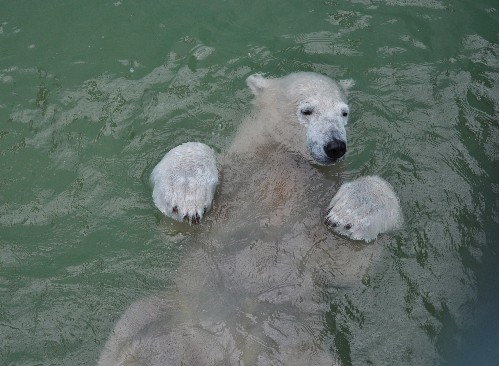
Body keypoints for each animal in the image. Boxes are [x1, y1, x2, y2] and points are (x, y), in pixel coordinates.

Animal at [97, 72, 402, 366]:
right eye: (307, 110)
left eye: (344, 112)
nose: (335, 145)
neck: (285, 167)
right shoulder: (236, 185)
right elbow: (178, 219)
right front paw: (186, 196)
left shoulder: (315, 220)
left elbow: (348, 262)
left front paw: (349, 213)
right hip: (176, 313)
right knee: (139, 318)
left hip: (299, 341)